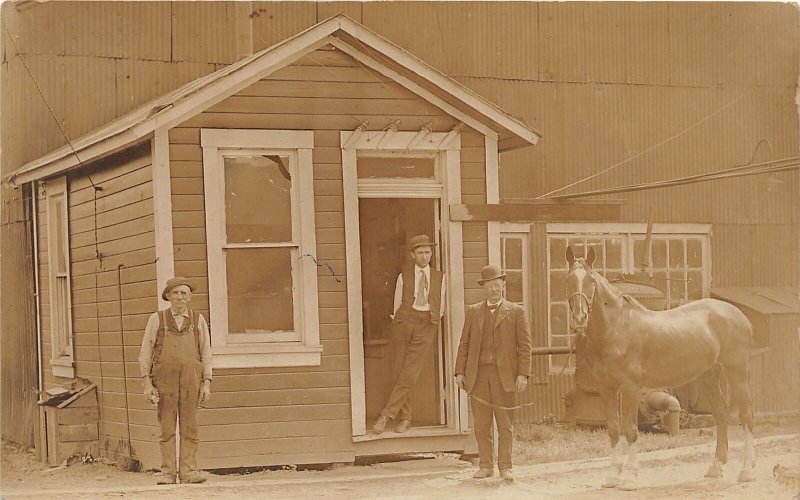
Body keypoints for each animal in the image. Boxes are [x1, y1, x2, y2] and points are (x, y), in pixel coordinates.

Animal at [564, 246, 752, 488]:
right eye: (568, 279)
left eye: (591, 280)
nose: (579, 318)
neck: (617, 327)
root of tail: (739, 315)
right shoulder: (607, 388)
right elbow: (614, 430)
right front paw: (612, 476)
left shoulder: (630, 387)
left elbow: (630, 430)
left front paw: (631, 476)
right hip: (710, 375)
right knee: (721, 414)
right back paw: (716, 467)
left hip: (737, 373)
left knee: (746, 416)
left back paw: (746, 471)